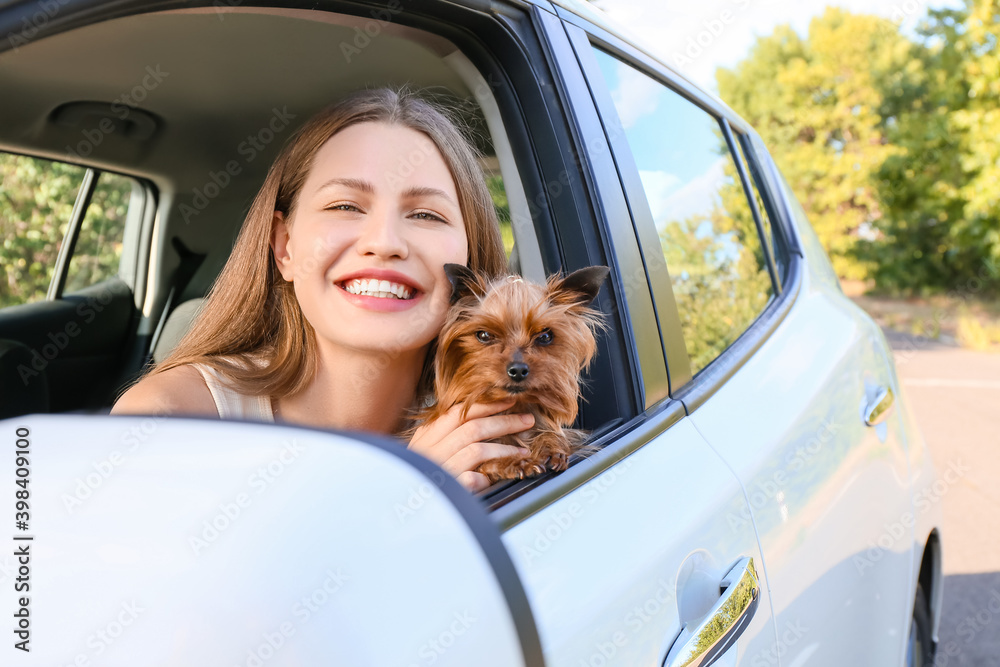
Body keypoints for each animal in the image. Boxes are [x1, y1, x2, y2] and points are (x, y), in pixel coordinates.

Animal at [414, 262, 608, 486]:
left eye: (545, 336)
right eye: (484, 335)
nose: (518, 370)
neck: (514, 407)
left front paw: (551, 447)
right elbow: (487, 461)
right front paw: (514, 463)